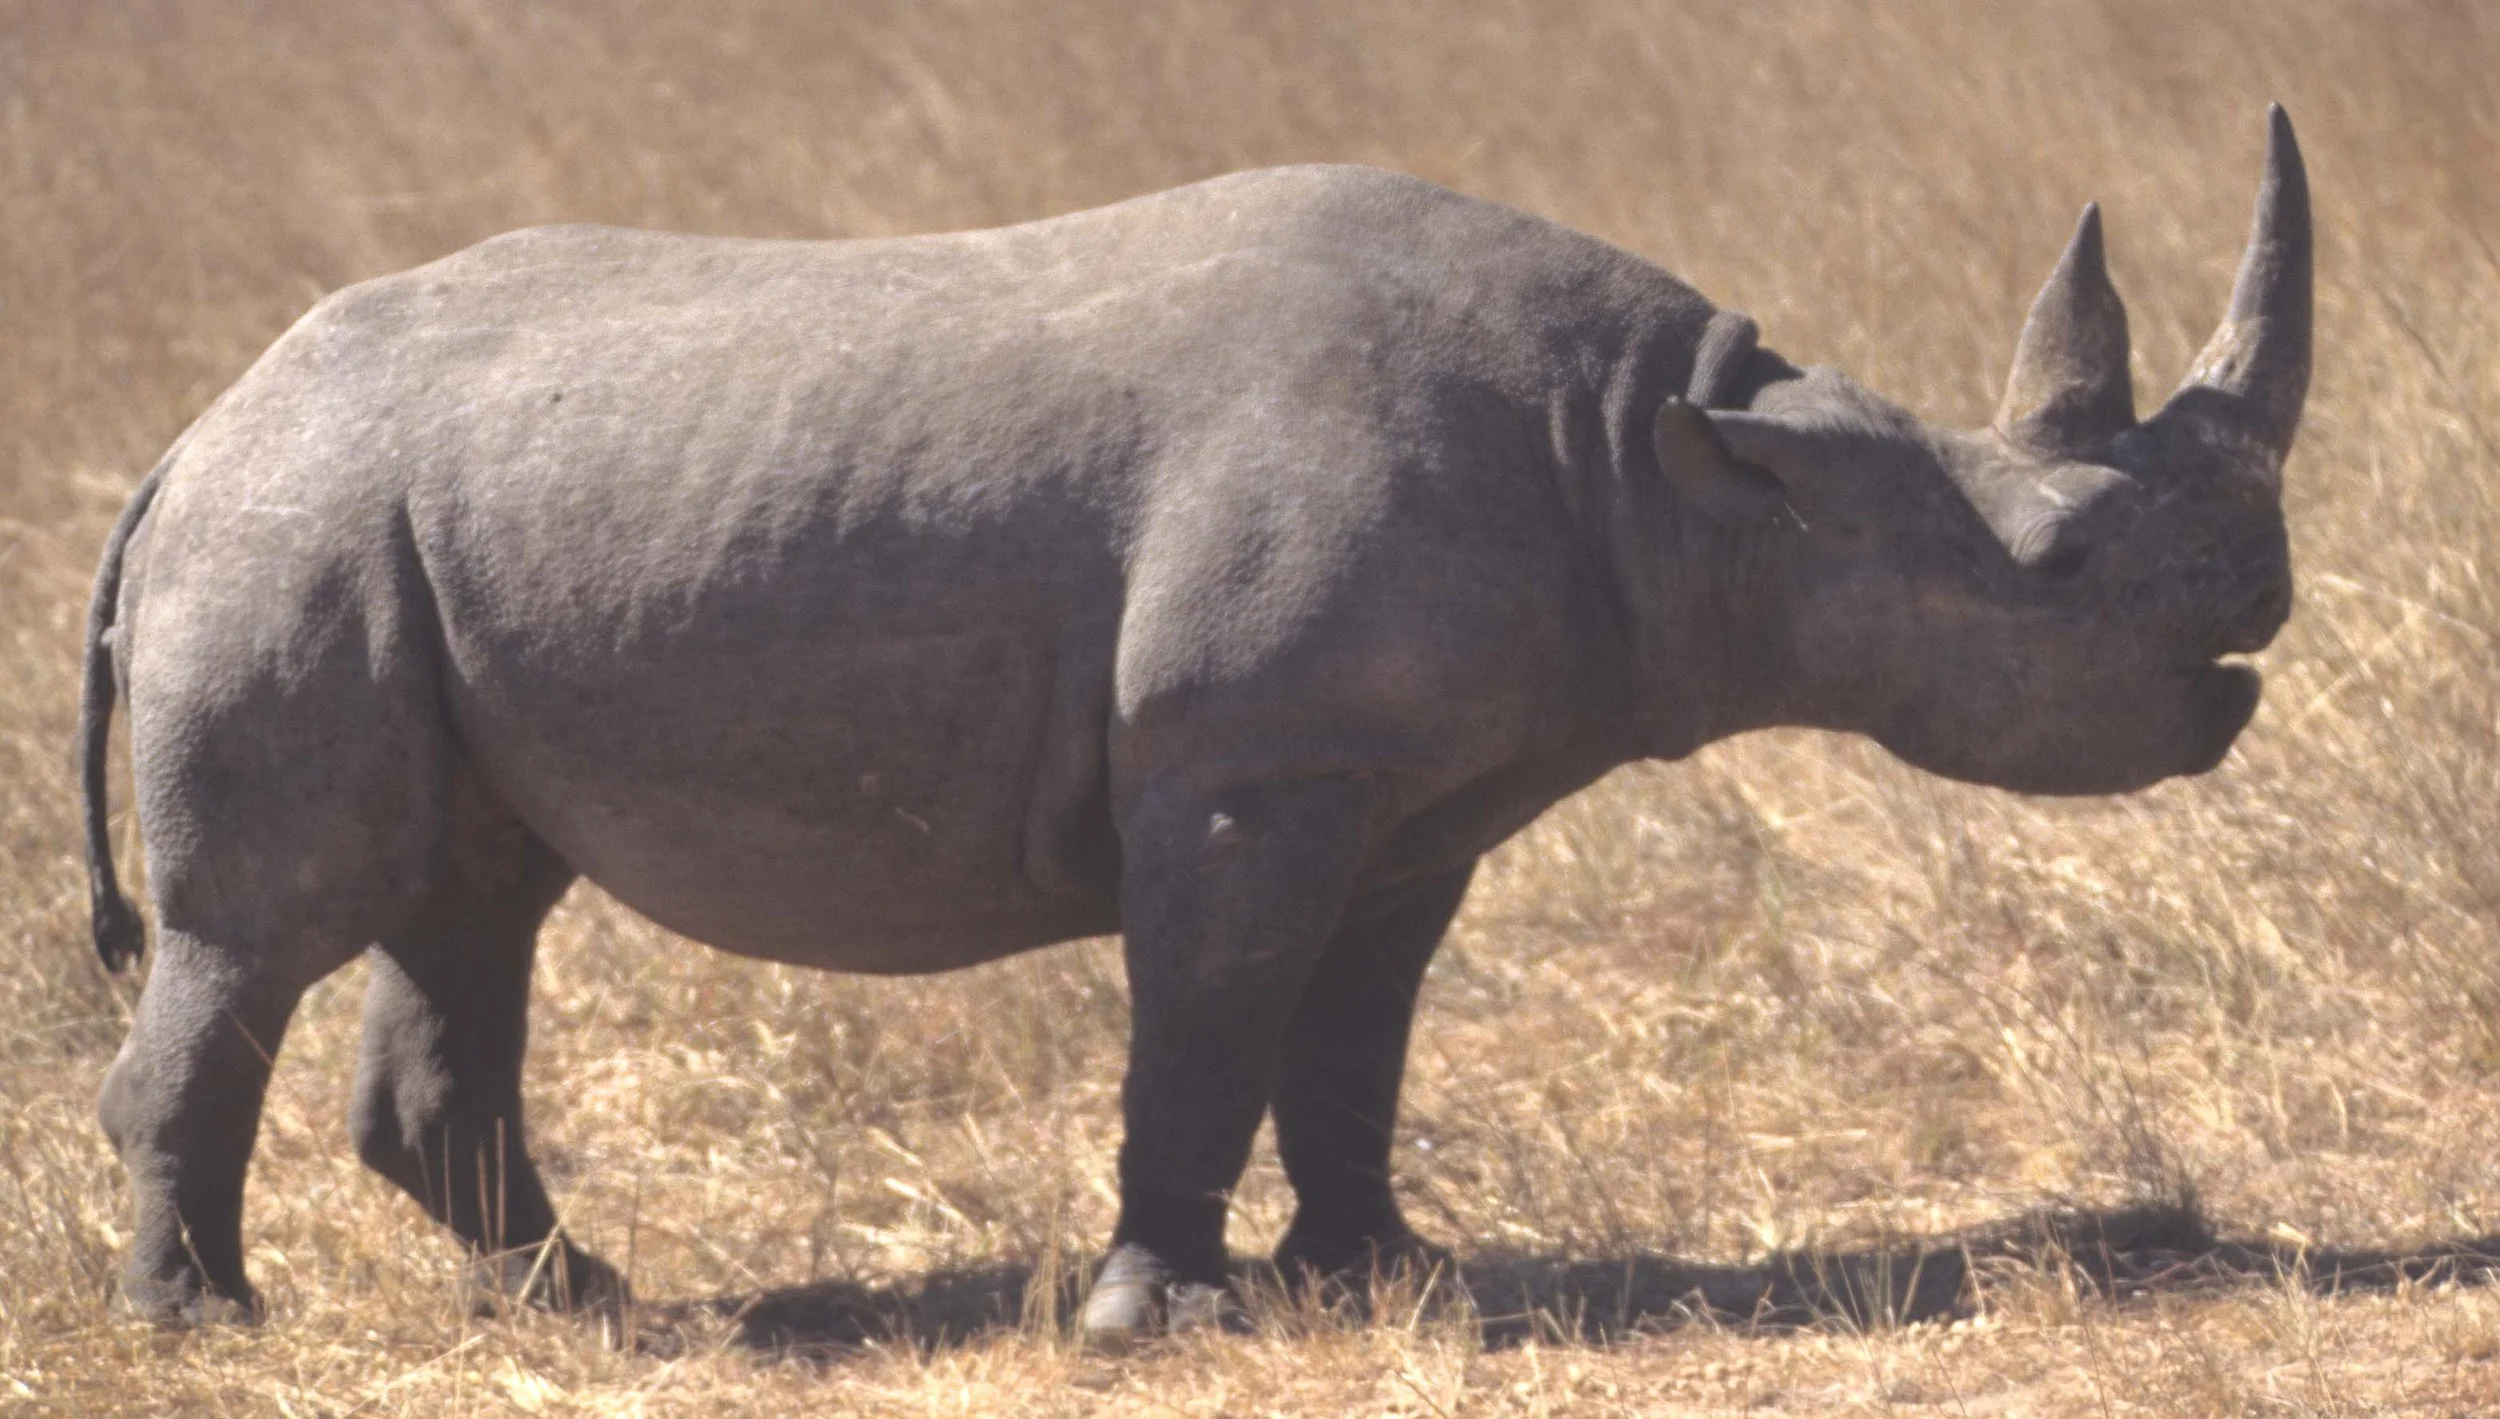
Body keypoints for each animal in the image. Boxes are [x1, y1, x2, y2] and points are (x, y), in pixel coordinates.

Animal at [78, 108, 2309, 1342]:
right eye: (2058, 565)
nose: (2255, 627)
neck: (1693, 467)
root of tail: (192, 429)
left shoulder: (1409, 785)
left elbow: (1348, 1042)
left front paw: (1386, 1273)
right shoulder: (1253, 763)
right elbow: (1214, 1019)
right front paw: (1162, 1312)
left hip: (408, 533)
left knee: (471, 897)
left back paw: (596, 1304)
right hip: (299, 524)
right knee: (272, 926)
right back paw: (207, 1322)